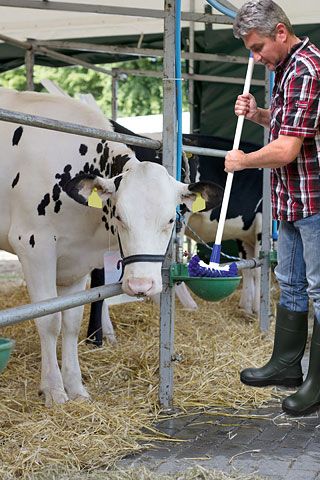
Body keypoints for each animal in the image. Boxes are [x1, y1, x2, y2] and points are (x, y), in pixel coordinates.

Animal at [0, 87, 224, 404]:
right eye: (119, 216)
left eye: (171, 218)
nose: (141, 285)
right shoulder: (34, 246)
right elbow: (49, 320)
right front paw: (54, 390)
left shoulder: (75, 260)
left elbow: (70, 321)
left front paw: (76, 387)